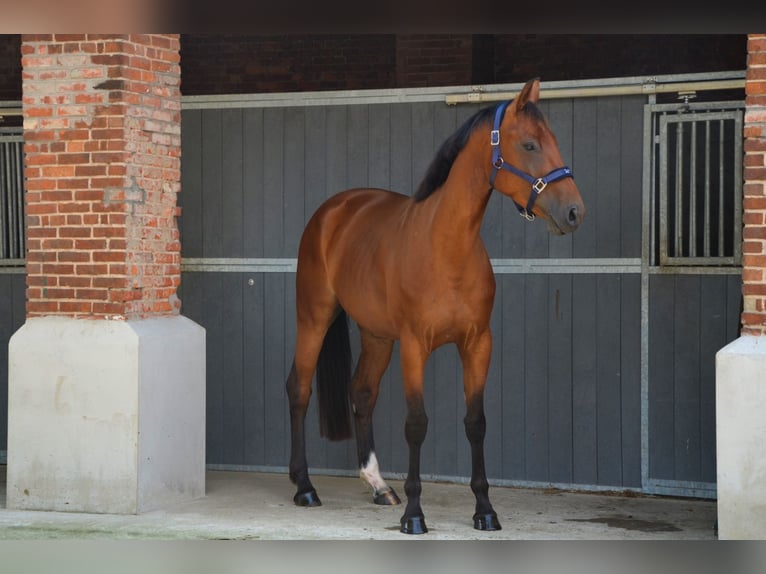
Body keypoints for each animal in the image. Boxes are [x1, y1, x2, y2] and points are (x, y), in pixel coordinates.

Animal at [284, 77, 584, 536]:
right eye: (530, 144)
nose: (573, 212)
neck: (446, 247)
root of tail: (333, 211)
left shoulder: (478, 344)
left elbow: (476, 423)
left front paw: (484, 510)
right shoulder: (414, 346)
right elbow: (417, 424)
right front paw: (414, 515)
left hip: (376, 335)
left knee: (362, 393)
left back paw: (378, 486)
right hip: (314, 318)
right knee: (299, 389)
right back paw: (305, 487)